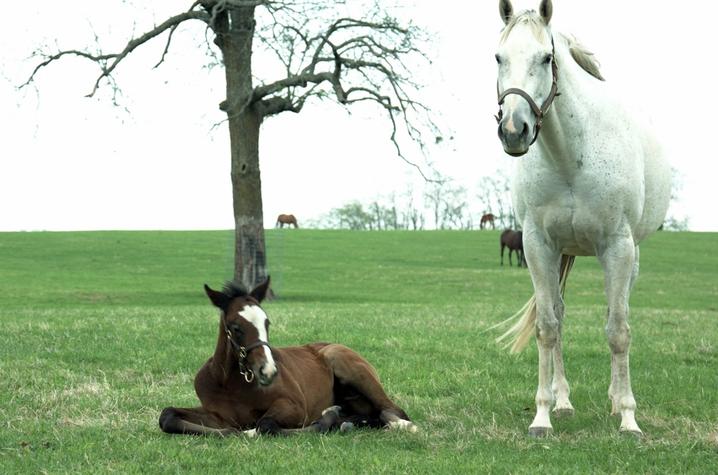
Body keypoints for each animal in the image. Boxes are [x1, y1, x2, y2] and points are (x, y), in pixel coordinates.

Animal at [159, 278, 416, 438]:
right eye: (236, 327)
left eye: (266, 322)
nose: (268, 371)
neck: (230, 383)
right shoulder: (218, 415)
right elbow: (167, 416)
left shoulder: (295, 407)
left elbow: (265, 425)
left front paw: (327, 418)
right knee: (373, 415)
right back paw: (347, 422)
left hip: (345, 363)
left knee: (392, 410)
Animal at [496, 0, 676, 438]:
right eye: (498, 57)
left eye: (546, 58)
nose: (513, 130)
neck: (570, 158)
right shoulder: (538, 247)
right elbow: (547, 326)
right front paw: (541, 416)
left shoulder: (617, 248)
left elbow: (618, 331)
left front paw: (628, 418)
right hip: (563, 253)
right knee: (559, 317)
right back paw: (562, 402)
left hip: (628, 258)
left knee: (615, 315)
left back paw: (614, 401)